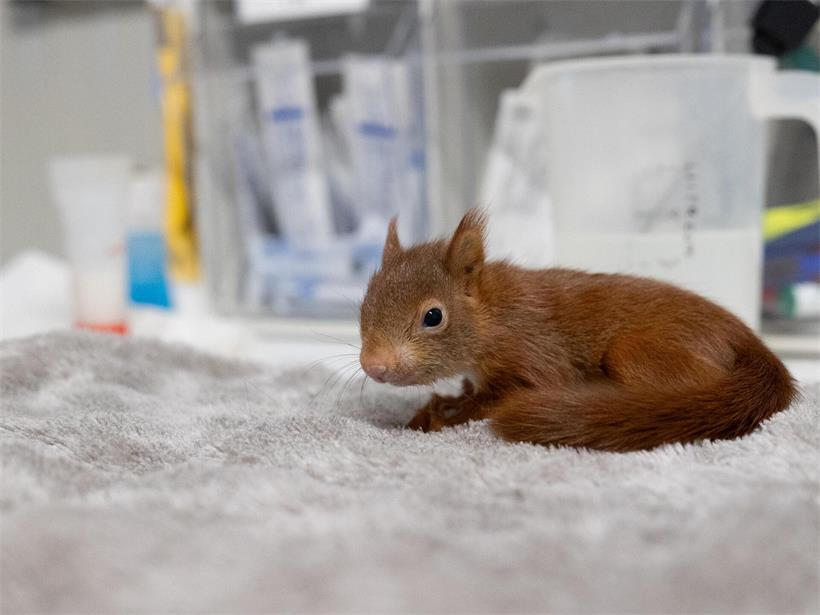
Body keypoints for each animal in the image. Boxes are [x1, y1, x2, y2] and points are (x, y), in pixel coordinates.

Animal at [358, 209, 797, 452]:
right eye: (363, 304)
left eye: (433, 316)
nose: (373, 365)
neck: (494, 315)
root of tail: (750, 344)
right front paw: (440, 404)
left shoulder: (534, 351)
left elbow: (494, 400)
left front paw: (447, 413)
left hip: (633, 351)